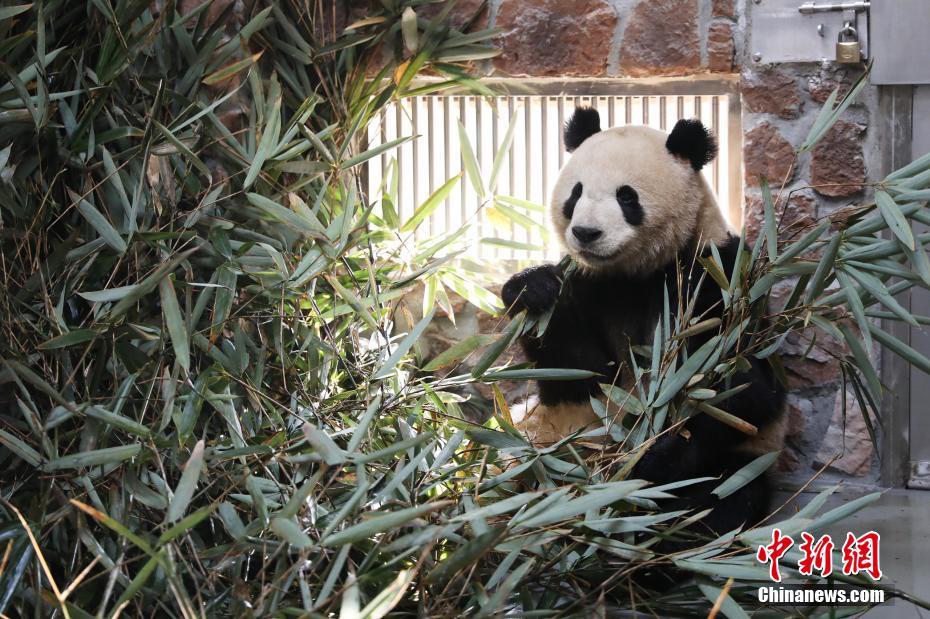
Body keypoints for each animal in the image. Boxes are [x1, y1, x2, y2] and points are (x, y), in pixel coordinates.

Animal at [500, 108, 784, 548]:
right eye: (576, 193)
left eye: (626, 197)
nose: (585, 233)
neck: (632, 273)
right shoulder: (590, 285)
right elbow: (577, 373)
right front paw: (533, 287)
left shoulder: (716, 277)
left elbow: (744, 389)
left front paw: (651, 457)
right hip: (535, 441)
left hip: (741, 463)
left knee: (721, 500)